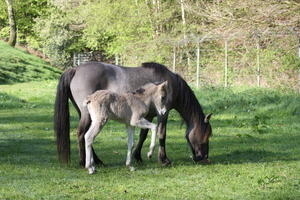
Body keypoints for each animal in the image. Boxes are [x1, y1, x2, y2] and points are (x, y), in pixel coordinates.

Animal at [54, 61, 213, 166]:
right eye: (206, 135)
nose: (204, 157)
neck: (171, 85)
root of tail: (75, 69)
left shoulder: (148, 116)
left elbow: (143, 135)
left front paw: (138, 156)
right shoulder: (163, 114)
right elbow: (162, 134)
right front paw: (164, 159)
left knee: (87, 135)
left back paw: (97, 160)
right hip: (89, 115)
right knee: (81, 133)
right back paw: (83, 161)